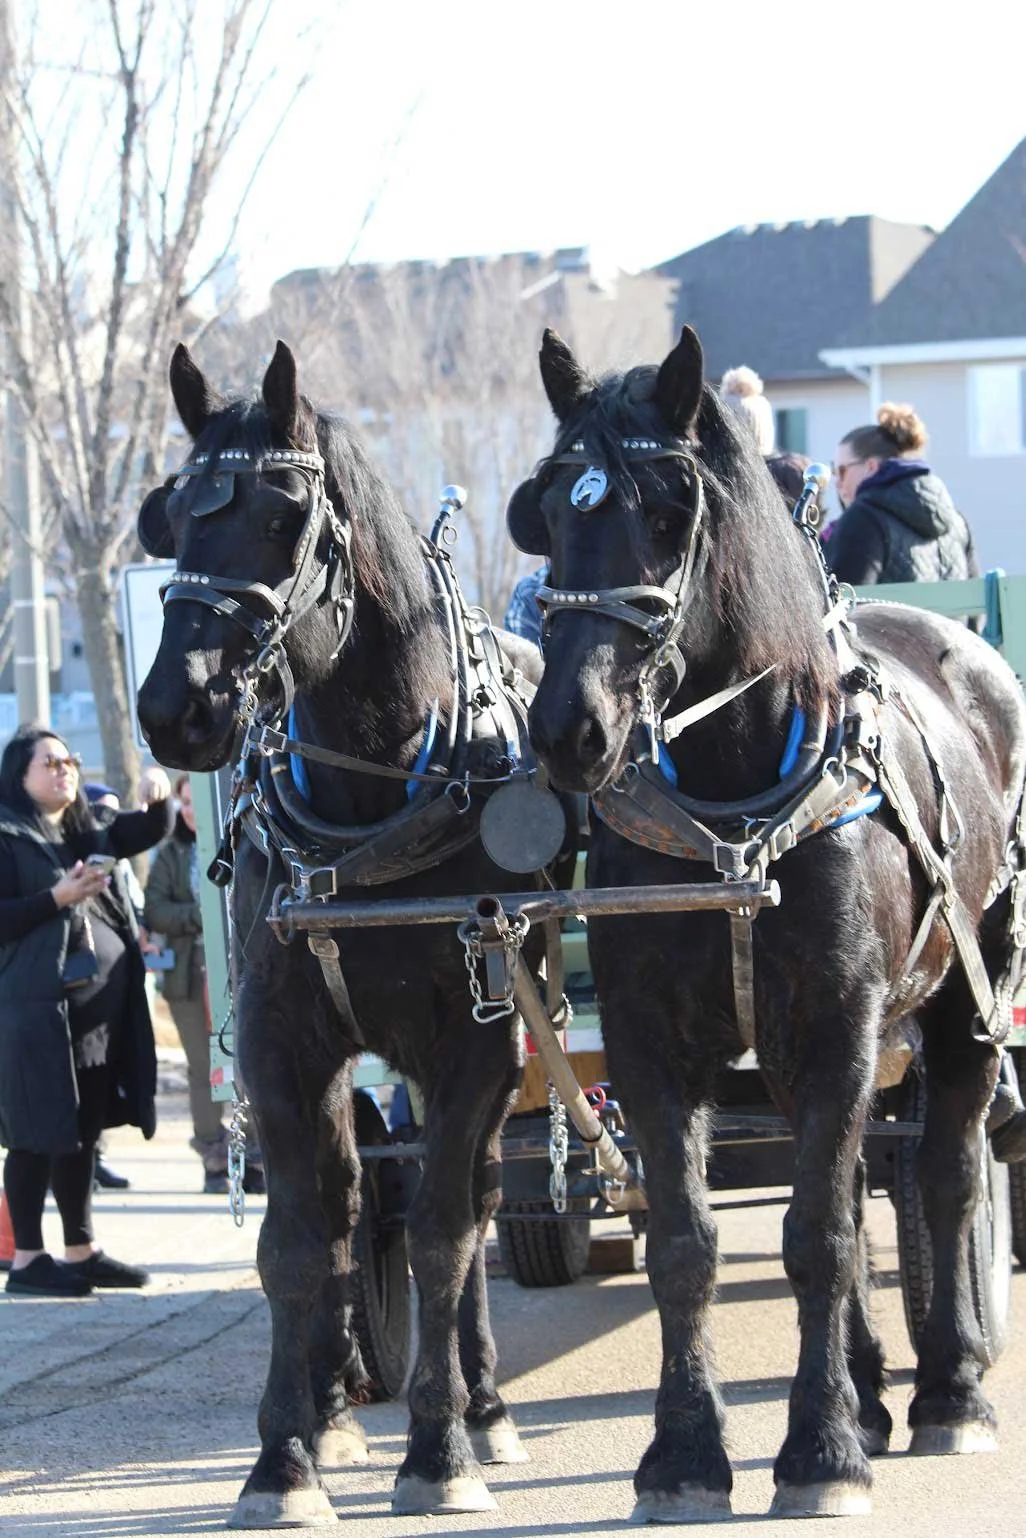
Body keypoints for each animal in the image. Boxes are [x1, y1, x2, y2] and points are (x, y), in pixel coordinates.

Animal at [136, 341, 570, 1527]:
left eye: (286, 515)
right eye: (171, 516)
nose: (175, 708)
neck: (370, 796)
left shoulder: (475, 1039)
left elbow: (440, 1230)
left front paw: (437, 1449)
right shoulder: (286, 1041)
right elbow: (303, 1238)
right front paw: (286, 1457)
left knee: (471, 1203)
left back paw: (481, 1406)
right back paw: (342, 1405)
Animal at [507, 324, 1026, 1520]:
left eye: (668, 508)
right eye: (549, 504)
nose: (568, 728)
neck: (732, 796)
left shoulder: (840, 1024)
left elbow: (822, 1235)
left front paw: (821, 1451)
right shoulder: (652, 1042)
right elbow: (688, 1243)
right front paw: (687, 1453)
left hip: (966, 1005)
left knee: (943, 1170)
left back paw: (948, 1389)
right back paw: (873, 1389)